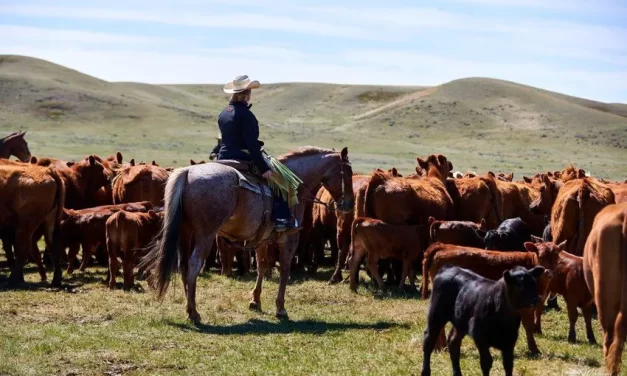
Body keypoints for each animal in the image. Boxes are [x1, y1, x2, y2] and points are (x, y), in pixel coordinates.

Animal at [144, 147, 356, 324]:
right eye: (347, 173)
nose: (349, 205)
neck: (294, 183)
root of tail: (187, 172)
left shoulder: (262, 239)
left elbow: (262, 266)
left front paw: (255, 301)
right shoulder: (289, 237)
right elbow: (285, 269)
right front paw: (280, 308)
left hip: (185, 233)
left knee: (184, 267)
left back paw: (189, 308)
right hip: (205, 235)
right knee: (194, 265)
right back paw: (194, 313)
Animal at [422, 242, 564, 354]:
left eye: (557, 256)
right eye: (541, 256)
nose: (549, 272)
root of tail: (443, 245)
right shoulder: (525, 306)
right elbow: (528, 326)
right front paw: (534, 349)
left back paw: (440, 347)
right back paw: (442, 347)